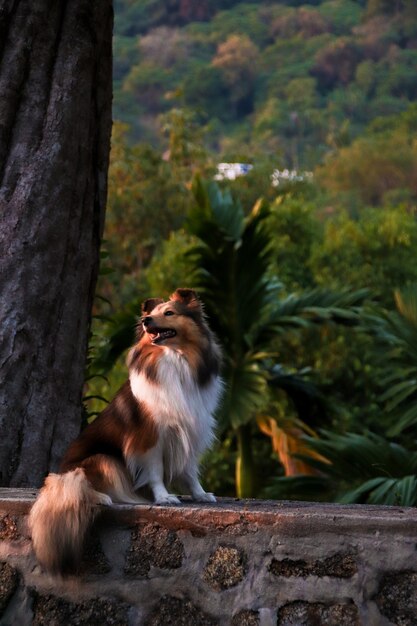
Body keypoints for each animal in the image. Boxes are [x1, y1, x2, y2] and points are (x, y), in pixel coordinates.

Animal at [28, 288, 221, 572]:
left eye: (169, 313)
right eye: (150, 314)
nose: (145, 321)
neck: (174, 358)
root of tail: (58, 475)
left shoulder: (189, 430)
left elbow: (189, 471)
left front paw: (200, 494)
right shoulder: (149, 437)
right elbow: (155, 471)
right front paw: (164, 497)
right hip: (101, 460)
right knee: (78, 487)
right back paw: (101, 497)